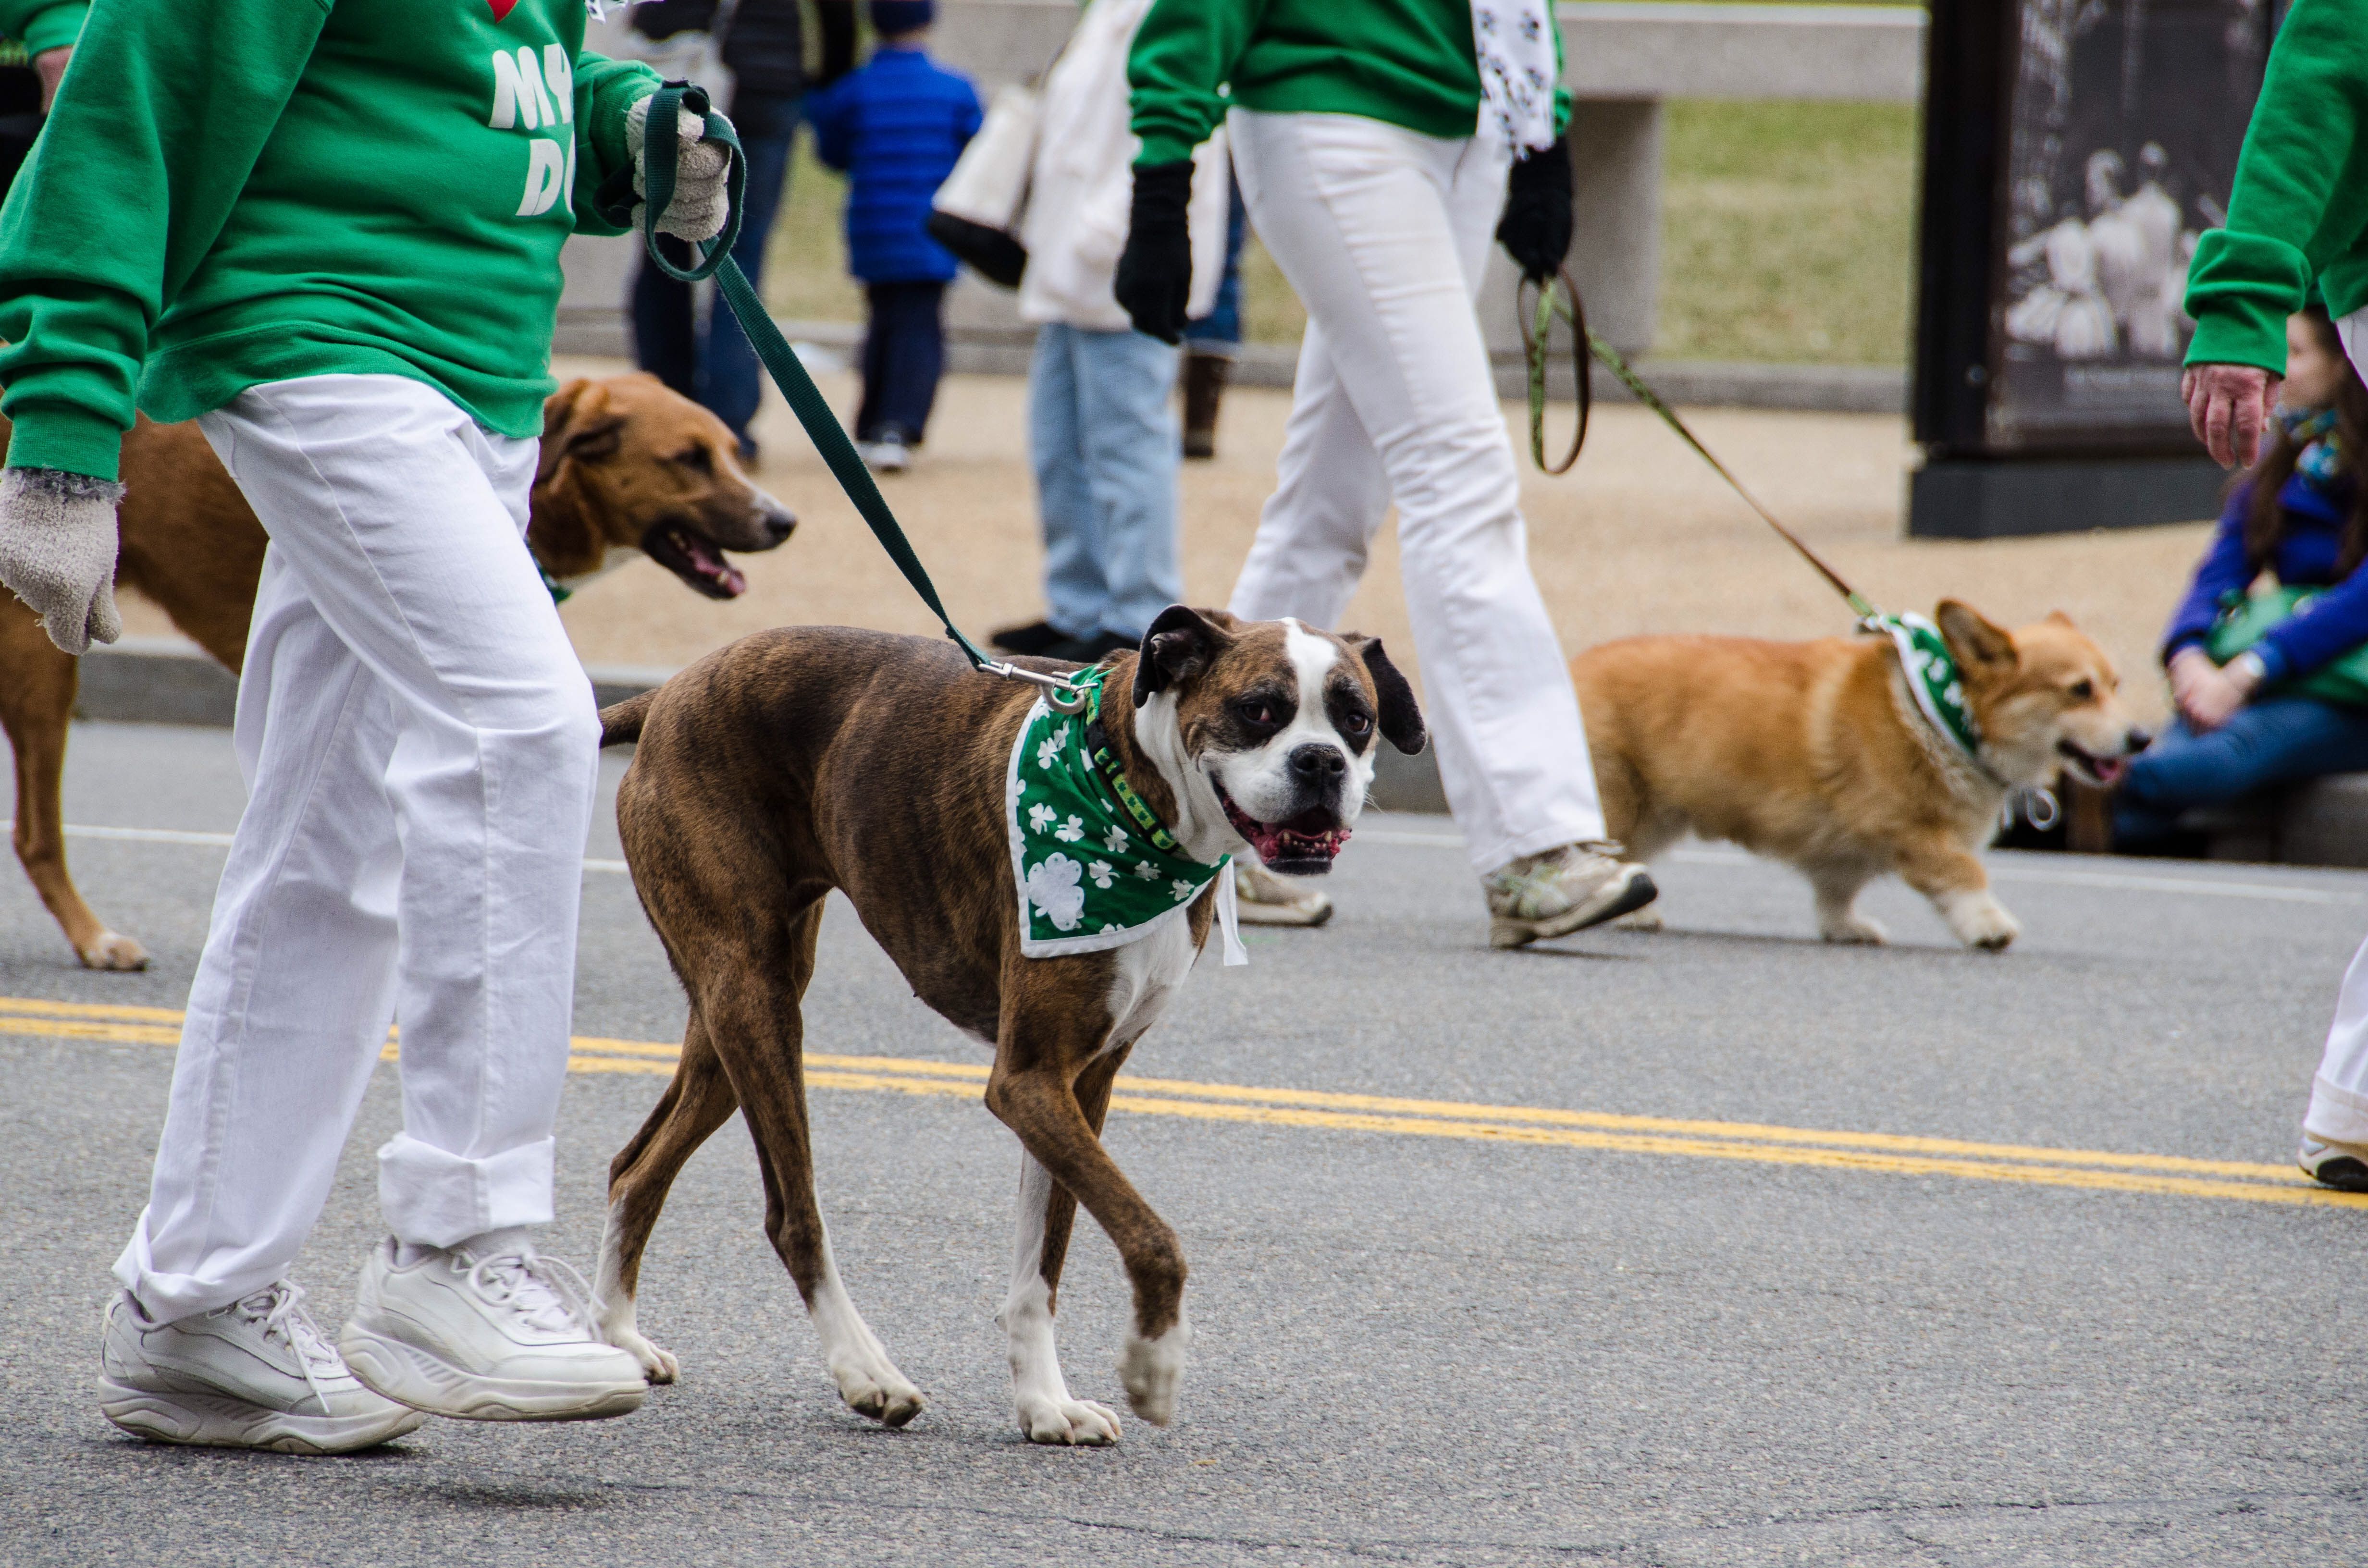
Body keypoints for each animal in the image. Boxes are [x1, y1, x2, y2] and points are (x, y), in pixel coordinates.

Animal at [0, 376, 795, 976]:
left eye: (731, 452)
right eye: (689, 459)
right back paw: (94, 937)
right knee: (36, 836)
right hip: (42, 669)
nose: (784, 521)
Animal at [592, 611, 1420, 1449]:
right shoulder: (1029, 1083)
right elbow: (1155, 1238)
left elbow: (1042, 1265)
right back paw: (866, 1373)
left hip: (734, 1021)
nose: (1321, 762)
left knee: (637, 1167)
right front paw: (1153, 1362)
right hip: (754, 1003)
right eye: (1259, 710)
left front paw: (1046, 1403)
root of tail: (670, 693)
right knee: (792, 1218)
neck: (1130, 788)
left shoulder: (1079, 1087)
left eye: (1357, 719)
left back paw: (618, 1338)